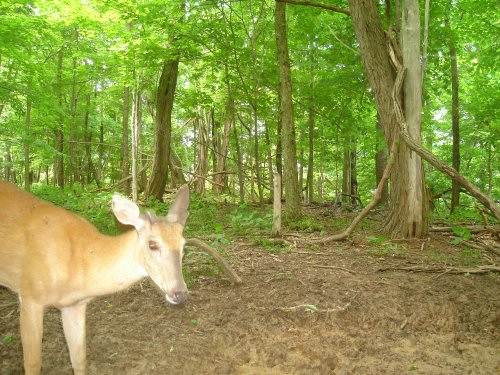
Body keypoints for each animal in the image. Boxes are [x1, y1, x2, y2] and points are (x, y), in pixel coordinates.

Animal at [0, 181, 190, 374]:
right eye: (152, 245)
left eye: (184, 247)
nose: (180, 293)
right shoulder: (30, 295)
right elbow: (32, 363)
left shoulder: (74, 305)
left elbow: (79, 358)